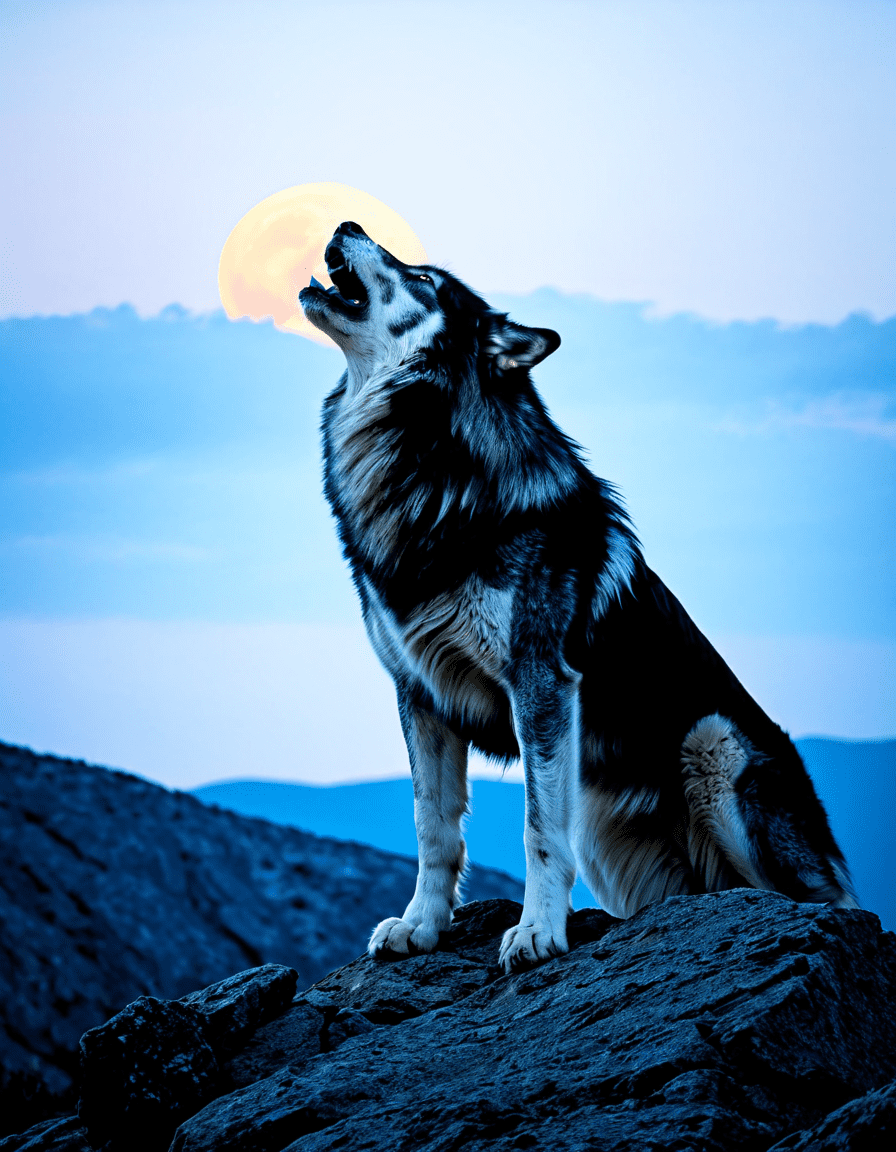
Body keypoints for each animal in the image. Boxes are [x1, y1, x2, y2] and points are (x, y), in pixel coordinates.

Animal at [299, 221, 857, 973]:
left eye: (422, 278)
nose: (347, 224)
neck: (432, 476)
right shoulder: (419, 693)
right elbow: (433, 830)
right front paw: (420, 927)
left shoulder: (541, 681)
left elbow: (537, 831)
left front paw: (536, 931)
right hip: (604, 827)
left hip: (712, 744)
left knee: (818, 901)